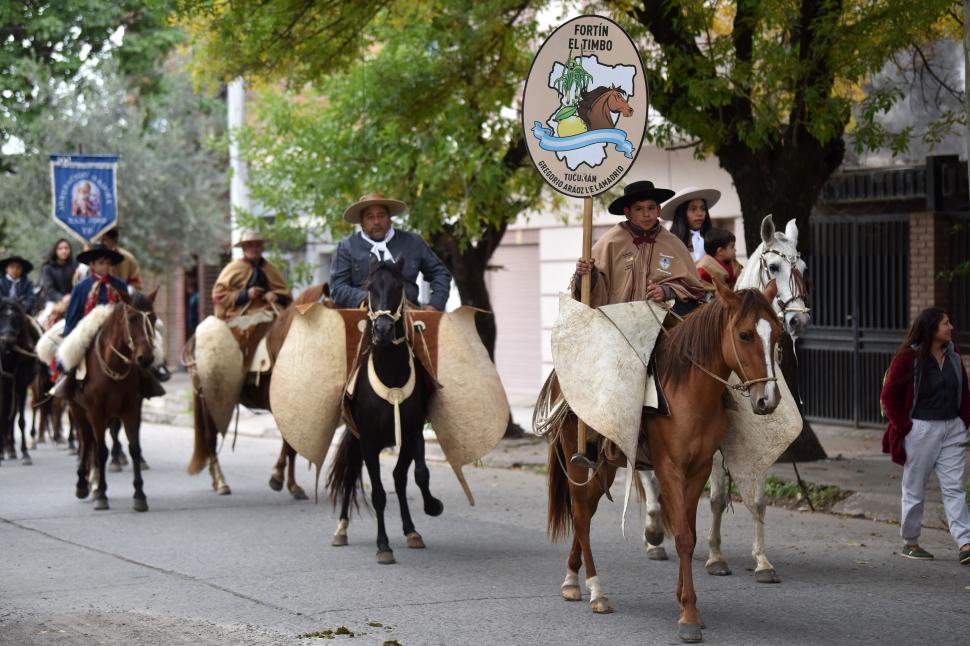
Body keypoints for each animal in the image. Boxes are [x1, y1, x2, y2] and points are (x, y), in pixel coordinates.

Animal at [72, 292, 159, 512]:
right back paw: (84, 484)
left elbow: (134, 448)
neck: (114, 367)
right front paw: (102, 494)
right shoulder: (95, 412)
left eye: (153, 318)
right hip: (79, 411)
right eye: (132, 319)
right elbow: (101, 451)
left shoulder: (131, 411)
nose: (146, 358)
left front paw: (139, 495)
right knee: (87, 441)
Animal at [328, 258, 444, 568]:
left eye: (399, 286)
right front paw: (383, 546)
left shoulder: (413, 431)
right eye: (369, 287)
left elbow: (421, 474)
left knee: (399, 478)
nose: (382, 329)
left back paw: (411, 531)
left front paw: (432, 506)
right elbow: (378, 493)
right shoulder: (368, 441)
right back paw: (341, 529)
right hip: (356, 442)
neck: (391, 374)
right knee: (351, 476)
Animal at [548, 280, 784, 644]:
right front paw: (688, 615)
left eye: (777, 334)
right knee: (582, 516)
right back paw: (596, 591)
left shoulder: (699, 469)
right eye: (744, 335)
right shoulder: (670, 468)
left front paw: (684, 600)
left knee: (584, 514)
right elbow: (683, 536)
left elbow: (691, 534)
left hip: (606, 468)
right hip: (579, 462)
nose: (768, 401)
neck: (689, 391)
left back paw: (572, 580)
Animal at [636, 215, 808, 584]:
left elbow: (758, 499)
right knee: (646, 475)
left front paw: (762, 561)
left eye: (802, 266)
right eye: (774, 266)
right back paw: (654, 534)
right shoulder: (712, 448)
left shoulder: (756, 440)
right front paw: (716, 556)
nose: (799, 319)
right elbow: (715, 498)